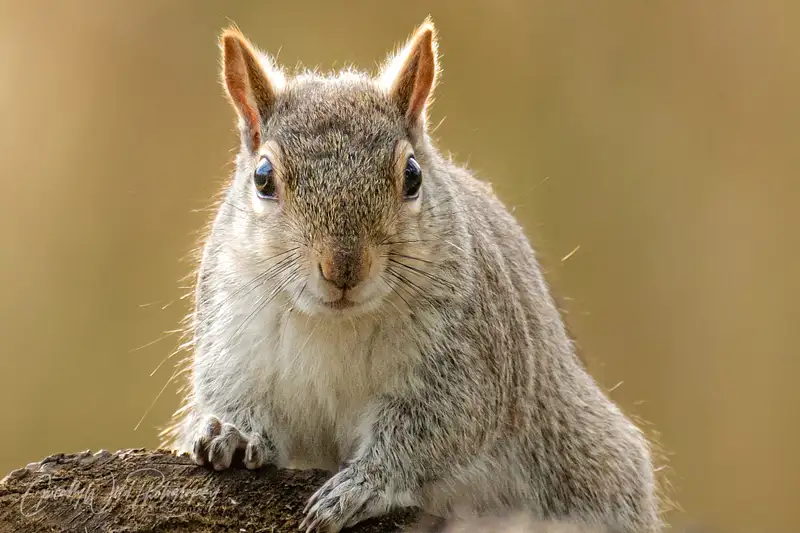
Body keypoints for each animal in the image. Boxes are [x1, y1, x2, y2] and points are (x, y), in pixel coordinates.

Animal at [162, 19, 662, 533]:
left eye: (413, 175)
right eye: (263, 177)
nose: (343, 267)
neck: (335, 324)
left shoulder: (466, 366)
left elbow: (432, 434)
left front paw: (362, 486)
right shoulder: (233, 339)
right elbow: (232, 396)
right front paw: (232, 432)